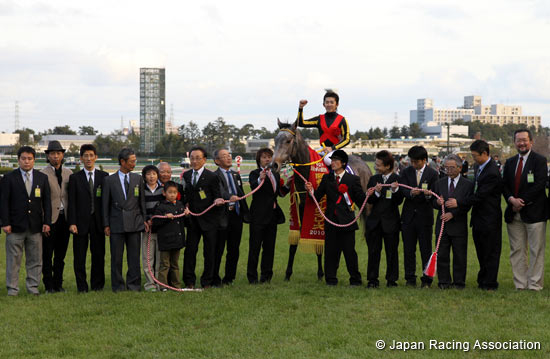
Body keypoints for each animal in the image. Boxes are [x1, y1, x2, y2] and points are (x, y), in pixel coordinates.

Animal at [272, 119, 376, 282]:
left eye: (288, 141)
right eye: (275, 140)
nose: (274, 164)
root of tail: (364, 163)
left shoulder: (319, 211)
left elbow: (319, 244)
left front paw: (321, 274)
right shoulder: (300, 209)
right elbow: (294, 244)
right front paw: (288, 274)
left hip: (366, 205)